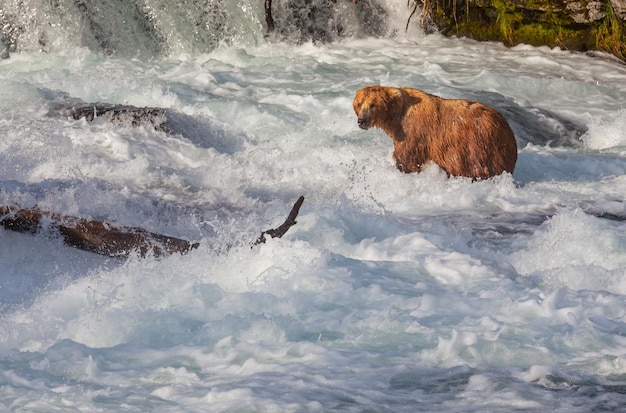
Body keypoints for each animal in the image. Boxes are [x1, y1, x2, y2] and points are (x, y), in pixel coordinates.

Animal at [352, 85, 516, 179]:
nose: (362, 120)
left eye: (372, 104)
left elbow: (408, 160)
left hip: (480, 145)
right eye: (359, 104)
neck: (396, 118)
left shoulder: (414, 133)